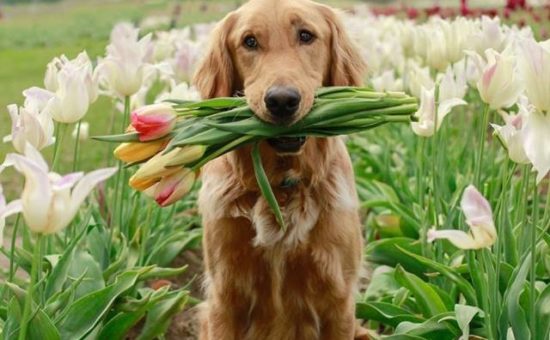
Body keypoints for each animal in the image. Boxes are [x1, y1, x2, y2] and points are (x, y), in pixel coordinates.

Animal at [192, 1, 368, 338]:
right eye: (249, 41)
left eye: (306, 35)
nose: (282, 101)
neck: (280, 185)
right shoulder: (224, 298)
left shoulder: (339, 300)